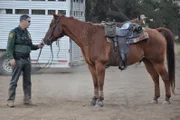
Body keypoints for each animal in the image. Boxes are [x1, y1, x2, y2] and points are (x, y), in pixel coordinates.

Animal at [42, 13, 174, 107]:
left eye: (51, 25)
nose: (45, 40)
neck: (90, 37)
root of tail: (157, 31)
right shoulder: (91, 66)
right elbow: (95, 82)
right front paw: (94, 99)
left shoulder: (100, 65)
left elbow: (101, 82)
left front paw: (100, 101)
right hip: (148, 61)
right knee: (155, 78)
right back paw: (155, 99)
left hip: (158, 62)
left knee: (165, 77)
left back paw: (167, 99)